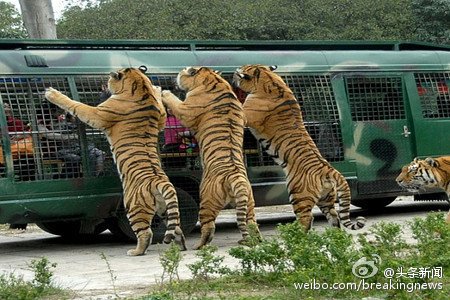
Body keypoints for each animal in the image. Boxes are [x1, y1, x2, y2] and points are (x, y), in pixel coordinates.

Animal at [44, 65, 185, 255]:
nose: (106, 83)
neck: (141, 89)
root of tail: (160, 182)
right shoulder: (160, 118)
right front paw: (158, 89)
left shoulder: (97, 113)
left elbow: (76, 105)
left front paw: (52, 93)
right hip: (165, 208)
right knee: (177, 228)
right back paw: (181, 247)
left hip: (132, 208)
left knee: (146, 232)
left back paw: (135, 251)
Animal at [162, 67, 260, 250]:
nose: (174, 77)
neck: (213, 79)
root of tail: (236, 178)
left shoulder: (186, 109)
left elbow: (174, 102)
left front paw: (164, 92)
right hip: (249, 202)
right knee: (251, 224)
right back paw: (254, 240)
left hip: (206, 200)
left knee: (208, 227)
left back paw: (198, 246)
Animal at [232, 64, 366, 231]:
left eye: (239, 73)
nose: (232, 77)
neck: (269, 78)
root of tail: (329, 170)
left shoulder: (246, 114)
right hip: (326, 199)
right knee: (334, 217)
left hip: (298, 195)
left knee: (307, 218)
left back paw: (297, 233)